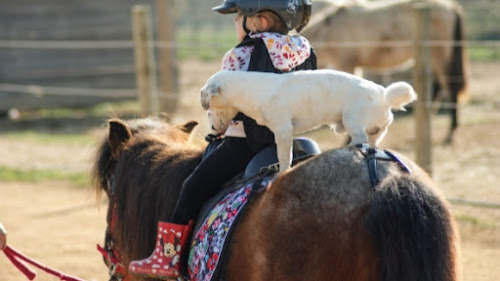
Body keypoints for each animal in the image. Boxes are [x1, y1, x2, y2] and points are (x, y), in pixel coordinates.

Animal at [201, 69, 416, 172]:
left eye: (209, 107)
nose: (211, 130)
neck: (252, 89)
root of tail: (383, 94)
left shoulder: (283, 130)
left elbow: (284, 158)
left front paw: (281, 172)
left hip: (352, 122)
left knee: (359, 141)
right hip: (376, 133)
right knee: (370, 143)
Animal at [300, 0, 468, 141]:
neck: (329, 28)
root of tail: (451, 7)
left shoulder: (347, 63)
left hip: (440, 56)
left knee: (449, 88)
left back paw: (450, 133)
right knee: (438, 87)